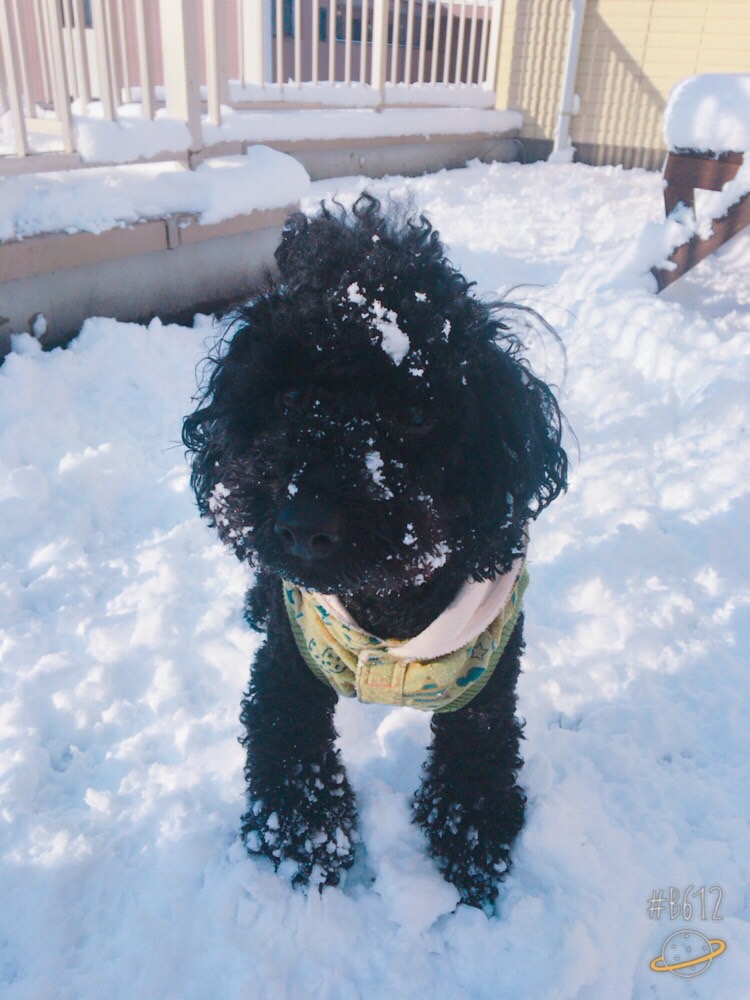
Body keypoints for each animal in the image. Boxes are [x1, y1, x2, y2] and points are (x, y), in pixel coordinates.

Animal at [184, 193, 568, 908]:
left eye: (416, 411)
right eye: (287, 396)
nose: (303, 524)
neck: (387, 611)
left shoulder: (490, 670)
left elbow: (480, 747)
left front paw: (471, 842)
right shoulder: (289, 657)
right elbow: (286, 736)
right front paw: (299, 842)